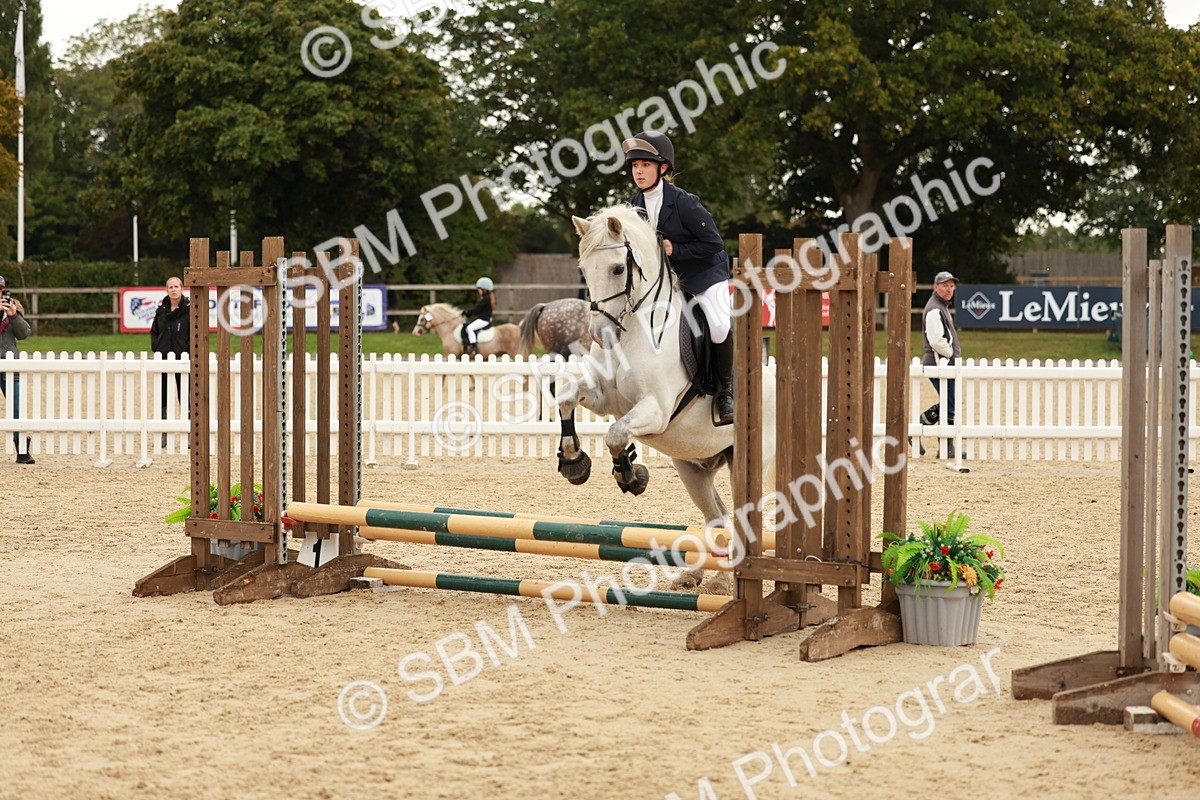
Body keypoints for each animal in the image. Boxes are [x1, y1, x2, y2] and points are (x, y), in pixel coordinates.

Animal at [558, 205, 777, 588]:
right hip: (693, 468)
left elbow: (616, 434)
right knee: (716, 516)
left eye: (617, 269)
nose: (600, 336)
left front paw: (630, 475)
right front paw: (574, 461)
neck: (633, 328)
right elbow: (567, 397)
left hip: (744, 463)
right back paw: (696, 575)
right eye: (583, 270)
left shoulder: (656, 409)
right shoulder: (602, 399)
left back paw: (725, 583)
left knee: (741, 518)